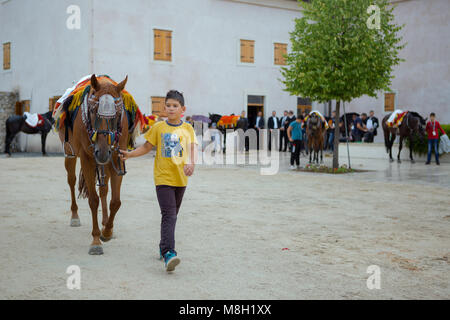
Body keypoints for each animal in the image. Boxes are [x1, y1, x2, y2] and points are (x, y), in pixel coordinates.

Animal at [56, 74, 132, 255]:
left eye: (118, 113)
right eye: (91, 111)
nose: (102, 151)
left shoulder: (117, 157)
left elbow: (115, 201)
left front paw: (107, 232)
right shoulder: (87, 159)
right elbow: (93, 200)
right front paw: (96, 241)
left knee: (104, 189)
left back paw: (105, 222)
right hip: (71, 153)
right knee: (71, 181)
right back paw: (75, 216)